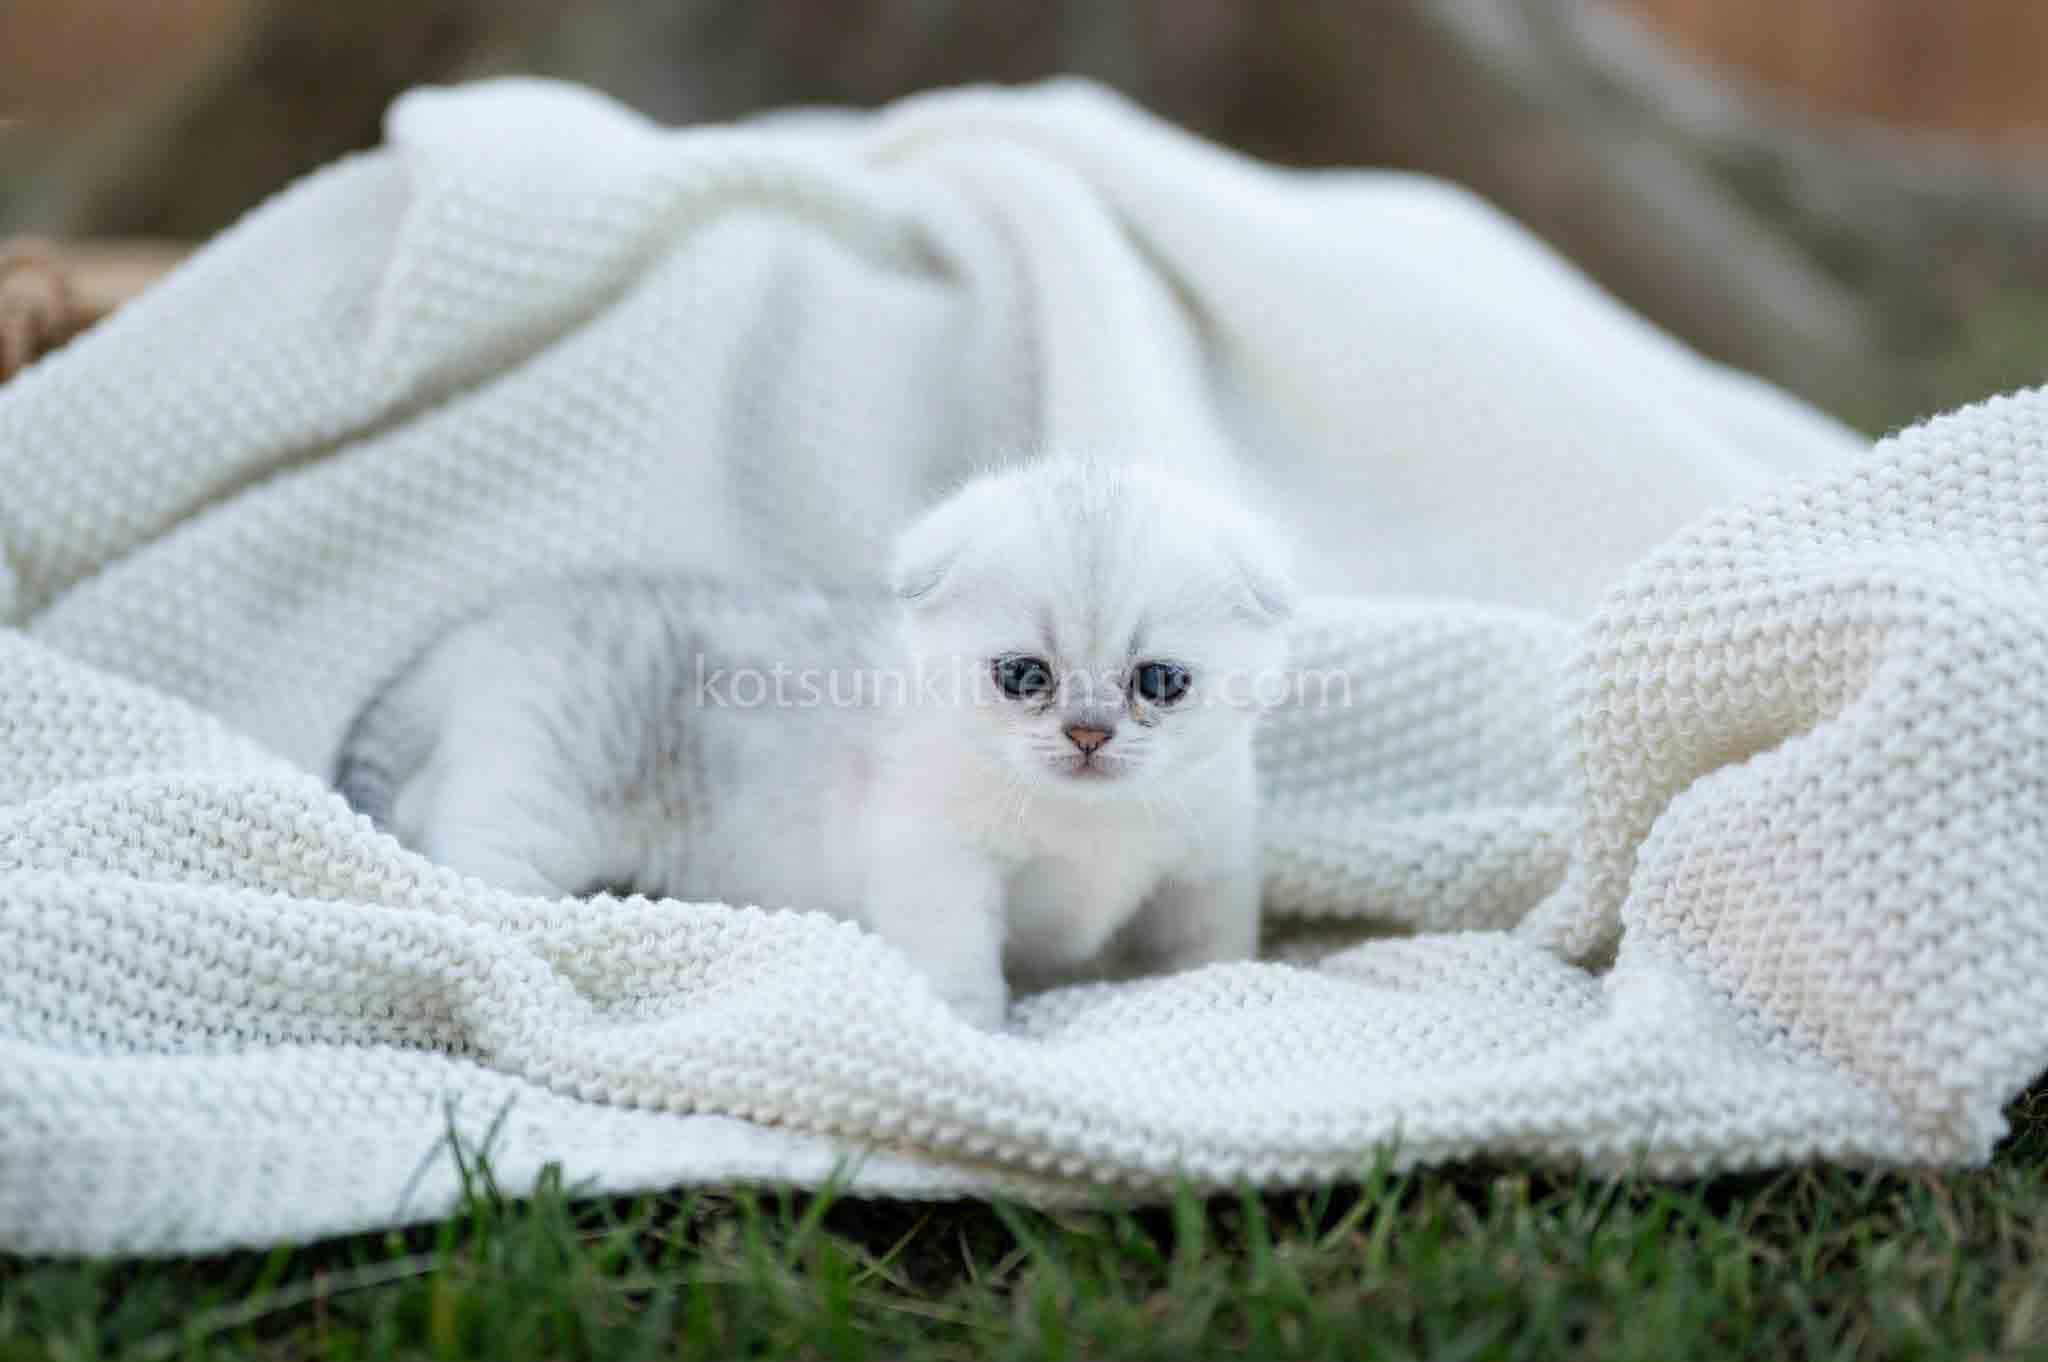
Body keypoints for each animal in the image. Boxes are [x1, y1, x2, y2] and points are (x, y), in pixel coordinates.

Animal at [334, 454, 1295, 1027]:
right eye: (1025, 676)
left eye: (1158, 682)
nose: (1089, 733)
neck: (1088, 822)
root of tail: (460, 645)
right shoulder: (935, 863)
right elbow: (957, 965)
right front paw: (973, 1041)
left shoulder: (1207, 866)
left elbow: (1206, 950)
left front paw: (1228, 999)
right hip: (530, 797)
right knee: (466, 876)